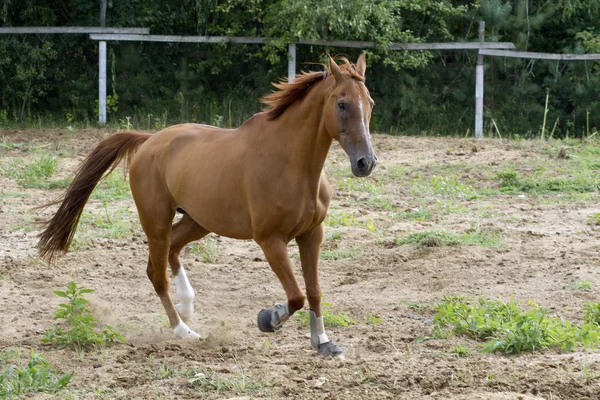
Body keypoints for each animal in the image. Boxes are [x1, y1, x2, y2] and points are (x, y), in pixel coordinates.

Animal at [36, 54, 376, 358]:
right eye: (342, 104)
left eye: (370, 103)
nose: (366, 163)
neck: (293, 164)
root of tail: (149, 141)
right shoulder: (270, 240)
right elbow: (295, 296)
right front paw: (268, 319)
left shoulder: (312, 235)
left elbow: (314, 291)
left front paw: (323, 343)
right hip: (156, 221)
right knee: (157, 273)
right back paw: (183, 330)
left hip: (197, 221)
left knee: (172, 251)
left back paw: (187, 304)